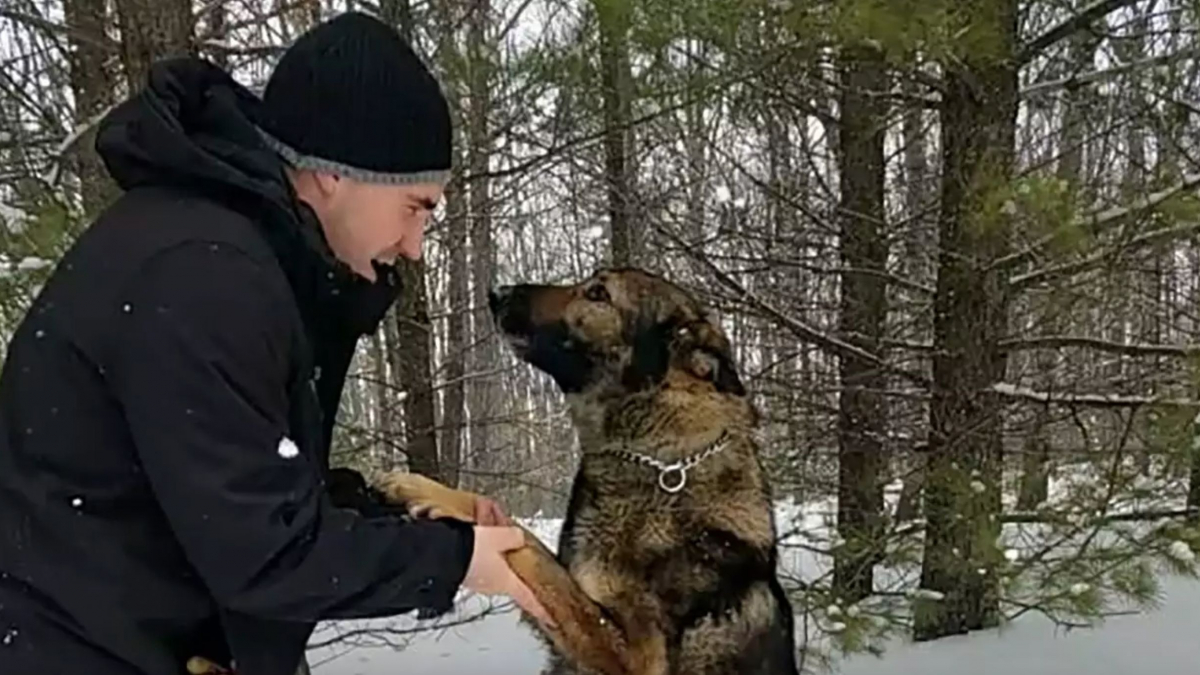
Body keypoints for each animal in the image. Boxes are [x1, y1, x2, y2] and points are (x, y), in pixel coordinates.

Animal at [376, 267, 796, 672]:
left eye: (598, 293)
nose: (497, 293)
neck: (658, 457)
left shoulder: (633, 656)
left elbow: (528, 546)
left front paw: (424, 491)